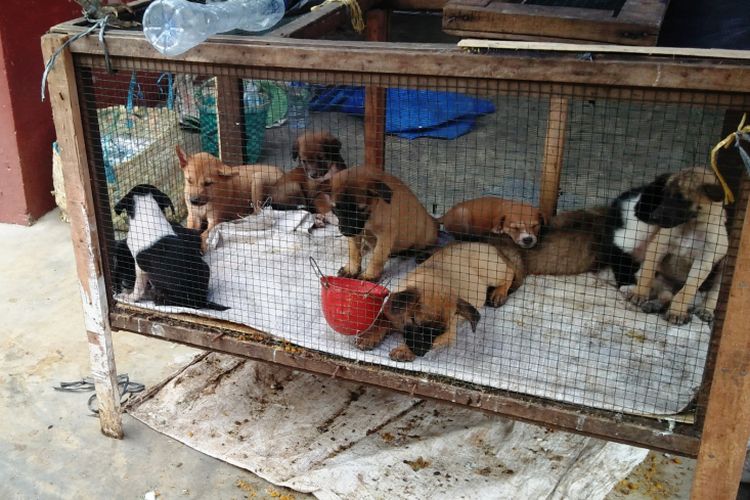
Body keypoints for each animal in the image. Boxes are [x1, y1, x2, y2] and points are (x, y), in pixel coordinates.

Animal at [624, 167, 732, 324]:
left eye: (680, 198)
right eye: (665, 195)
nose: (653, 217)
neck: (691, 227)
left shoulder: (703, 261)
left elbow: (688, 289)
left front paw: (677, 312)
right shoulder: (658, 247)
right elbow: (647, 273)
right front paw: (639, 293)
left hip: (723, 267)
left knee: (711, 293)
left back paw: (705, 310)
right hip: (658, 279)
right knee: (665, 295)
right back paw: (653, 304)